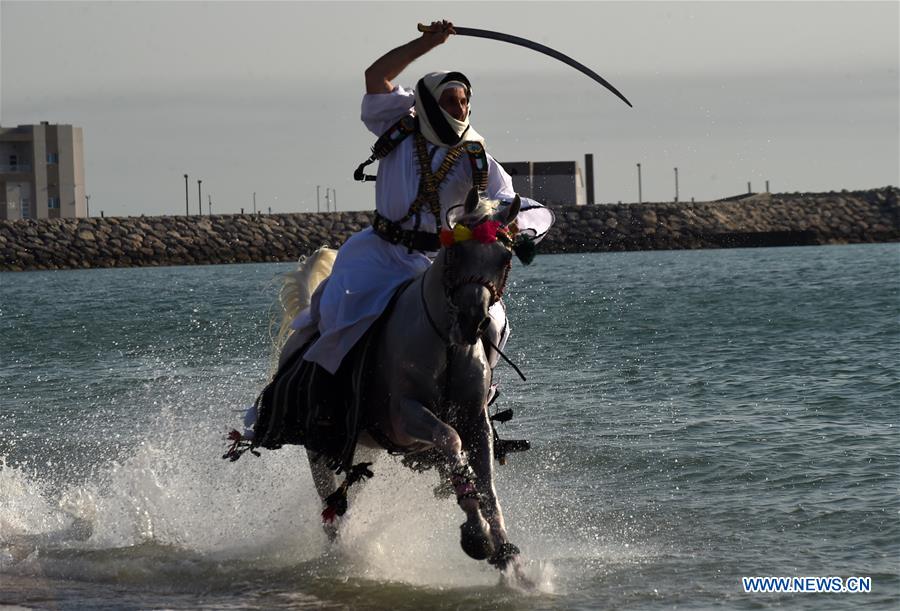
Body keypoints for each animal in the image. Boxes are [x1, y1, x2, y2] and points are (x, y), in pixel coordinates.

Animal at [241, 189, 536, 580]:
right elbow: (449, 438)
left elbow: (485, 479)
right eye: (456, 253)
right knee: (329, 503)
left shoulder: (475, 419)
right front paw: (476, 535)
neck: (445, 344)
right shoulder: (405, 416)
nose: (471, 320)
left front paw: (508, 557)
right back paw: (341, 553)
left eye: (504, 258)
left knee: (347, 495)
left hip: (364, 450)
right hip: (319, 447)